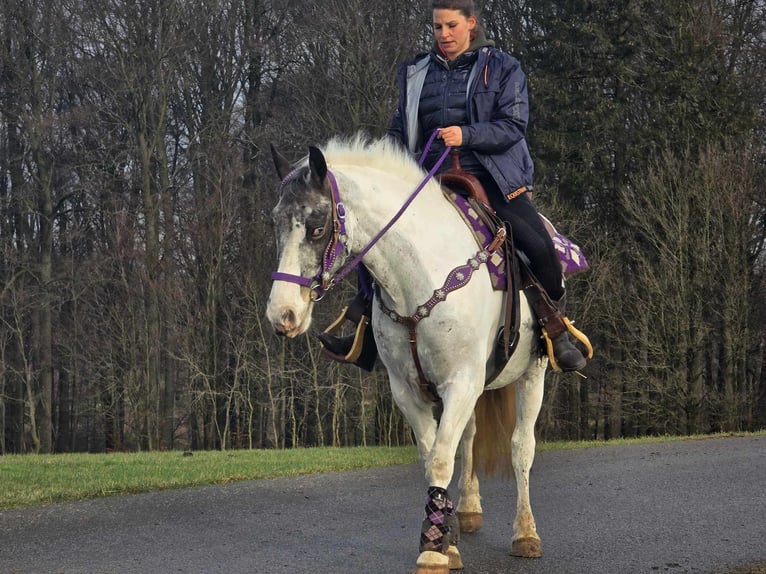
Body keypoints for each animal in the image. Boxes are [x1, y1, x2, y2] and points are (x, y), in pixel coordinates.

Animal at [268, 136, 548, 574]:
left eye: (317, 228)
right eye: (275, 223)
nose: (282, 314)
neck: (420, 281)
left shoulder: (461, 382)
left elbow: (441, 459)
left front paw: (433, 548)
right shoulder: (410, 391)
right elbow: (433, 456)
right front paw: (447, 541)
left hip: (532, 373)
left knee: (522, 447)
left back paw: (525, 534)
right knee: (470, 438)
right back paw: (468, 511)